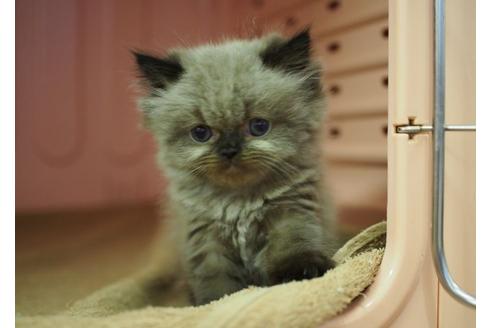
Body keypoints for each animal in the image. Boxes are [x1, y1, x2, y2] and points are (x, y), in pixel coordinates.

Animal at [135, 30, 342, 304]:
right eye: (201, 133)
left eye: (259, 126)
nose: (229, 150)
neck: (239, 203)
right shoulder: (205, 239)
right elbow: (216, 284)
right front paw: (212, 302)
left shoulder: (291, 213)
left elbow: (294, 246)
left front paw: (304, 271)